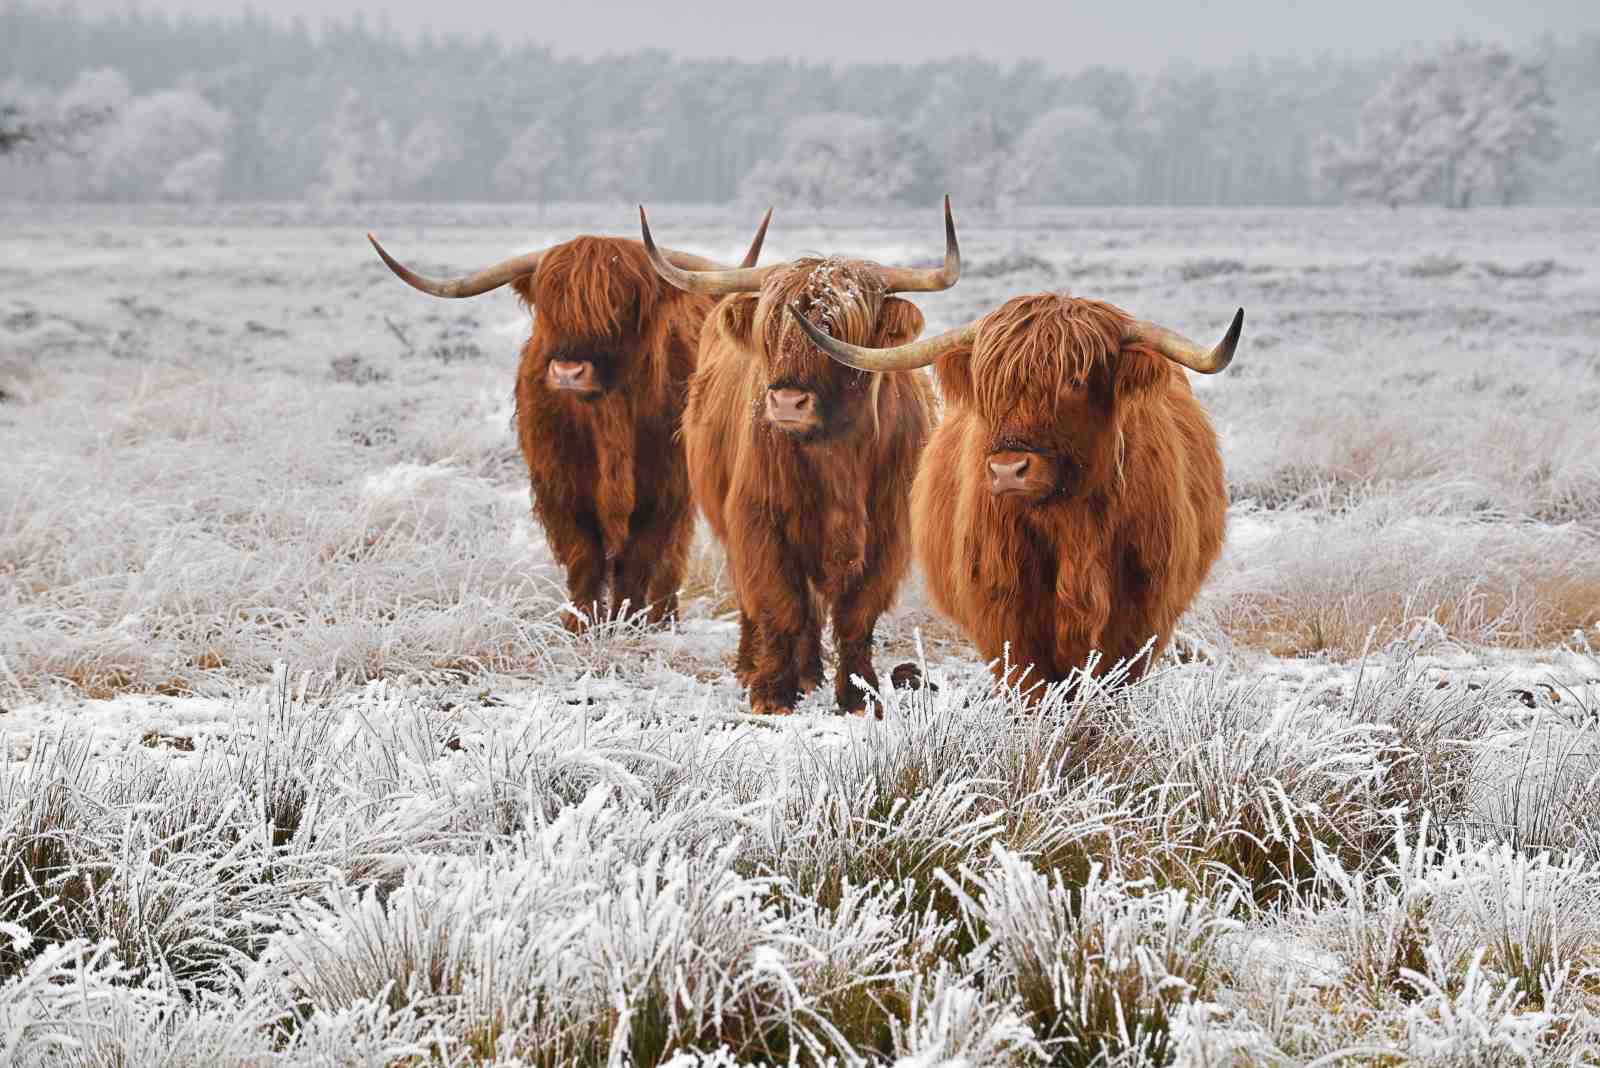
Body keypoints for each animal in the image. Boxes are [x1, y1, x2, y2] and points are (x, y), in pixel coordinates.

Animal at [367, 217, 770, 631]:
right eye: (549, 306)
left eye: (620, 303)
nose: (568, 372)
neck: (609, 420)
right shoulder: (560, 488)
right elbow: (584, 557)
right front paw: (581, 625)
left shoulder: (664, 489)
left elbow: (639, 559)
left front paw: (628, 623)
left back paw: (663, 618)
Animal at [637, 200, 961, 715]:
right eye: (771, 329)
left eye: (837, 330)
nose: (788, 401)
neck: (837, 457)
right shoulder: (759, 521)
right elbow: (780, 604)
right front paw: (771, 692)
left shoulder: (888, 533)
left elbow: (855, 614)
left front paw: (860, 694)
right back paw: (758, 667)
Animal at [791, 291, 1243, 698]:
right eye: (989, 385)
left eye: (1075, 380)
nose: (1008, 469)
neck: (1072, 528)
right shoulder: (1005, 615)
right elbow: (1031, 690)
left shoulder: (1139, 616)